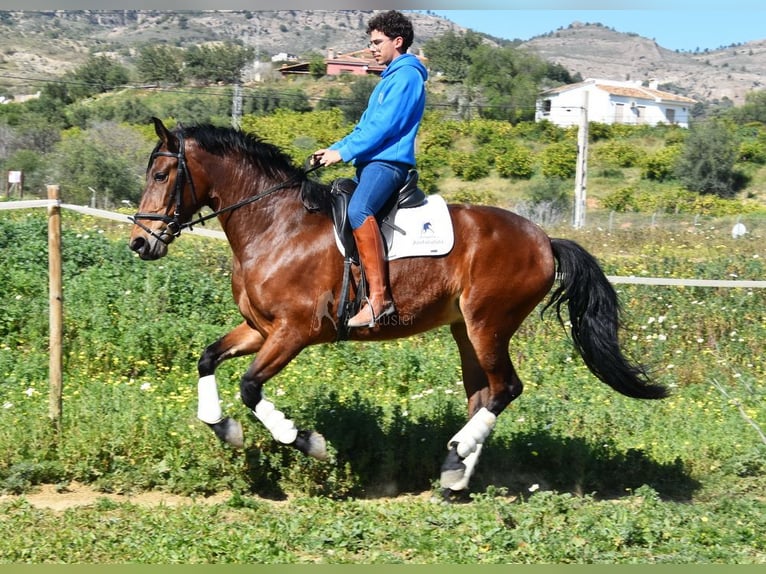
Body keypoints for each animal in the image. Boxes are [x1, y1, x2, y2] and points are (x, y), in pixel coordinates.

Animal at [129, 117, 668, 496]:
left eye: (162, 173)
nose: (139, 243)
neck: (276, 226)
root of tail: (545, 241)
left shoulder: (295, 332)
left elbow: (249, 386)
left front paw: (306, 441)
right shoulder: (259, 328)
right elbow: (207, 359)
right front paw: (224, 428)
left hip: (488, 323)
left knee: (506, 389)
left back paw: (456, 456)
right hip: (465, 330)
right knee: (483, 395)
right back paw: (455, 474)